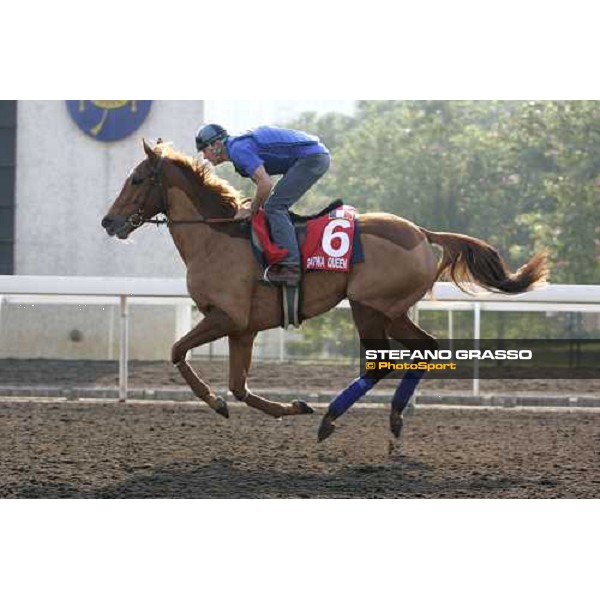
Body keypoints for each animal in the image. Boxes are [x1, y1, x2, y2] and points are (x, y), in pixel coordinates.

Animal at [102, 141, 548, 440]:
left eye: (137, 178)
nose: (108, 222)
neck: (215, 237)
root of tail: (422, 232)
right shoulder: (244, 328)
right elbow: (240, 387)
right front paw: (290, 406)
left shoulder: (226, 316)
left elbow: (178, 352)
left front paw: (215, 402)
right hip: (392, 310)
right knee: (426, 348)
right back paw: (393, 417)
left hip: (368, 305)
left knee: (380, 365)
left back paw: (332, 418)